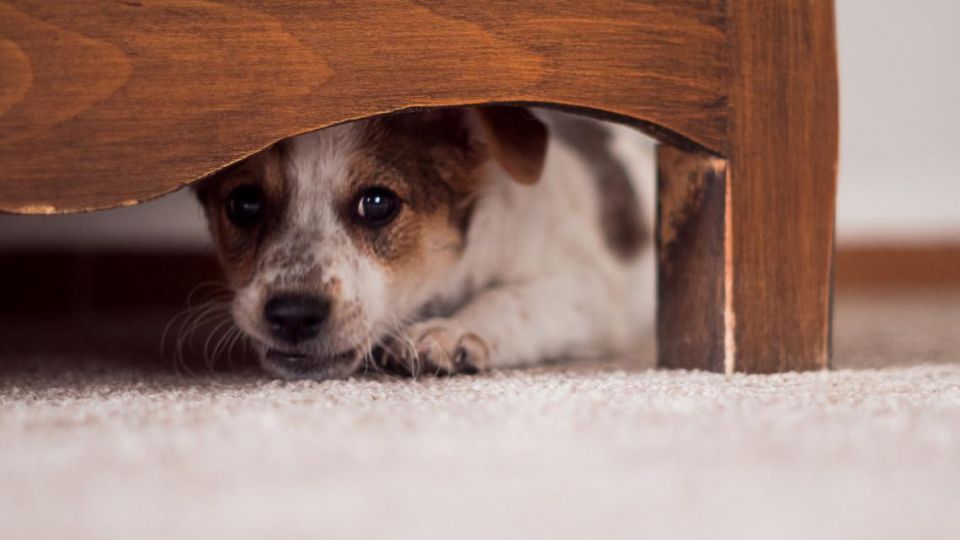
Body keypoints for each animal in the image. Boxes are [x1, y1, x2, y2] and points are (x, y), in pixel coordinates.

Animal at [199, 106, 656, 380]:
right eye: (244, 203)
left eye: (378, 203)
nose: (293, 315)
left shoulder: (589, 289)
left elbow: (511, 297)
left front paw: (451, 331)